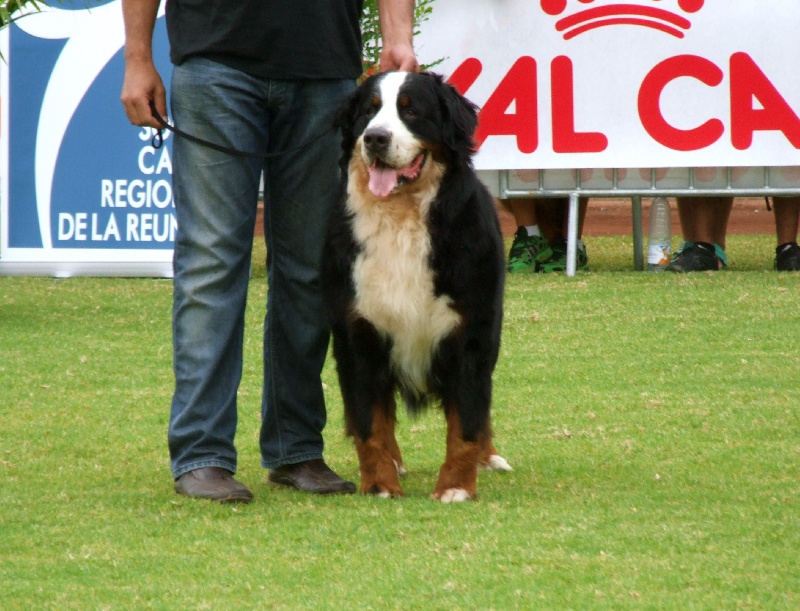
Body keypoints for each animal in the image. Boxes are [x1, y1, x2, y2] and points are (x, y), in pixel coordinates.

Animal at [320, 70, 512, 502]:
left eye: (410, 111)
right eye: (369, 111)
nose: (375, 138)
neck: (401, 218)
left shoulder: (470, 333)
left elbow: (467, 419)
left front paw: (456, 485)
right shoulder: (358, 331)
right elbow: (370, 423)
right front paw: (379, 484)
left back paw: (489, 456)